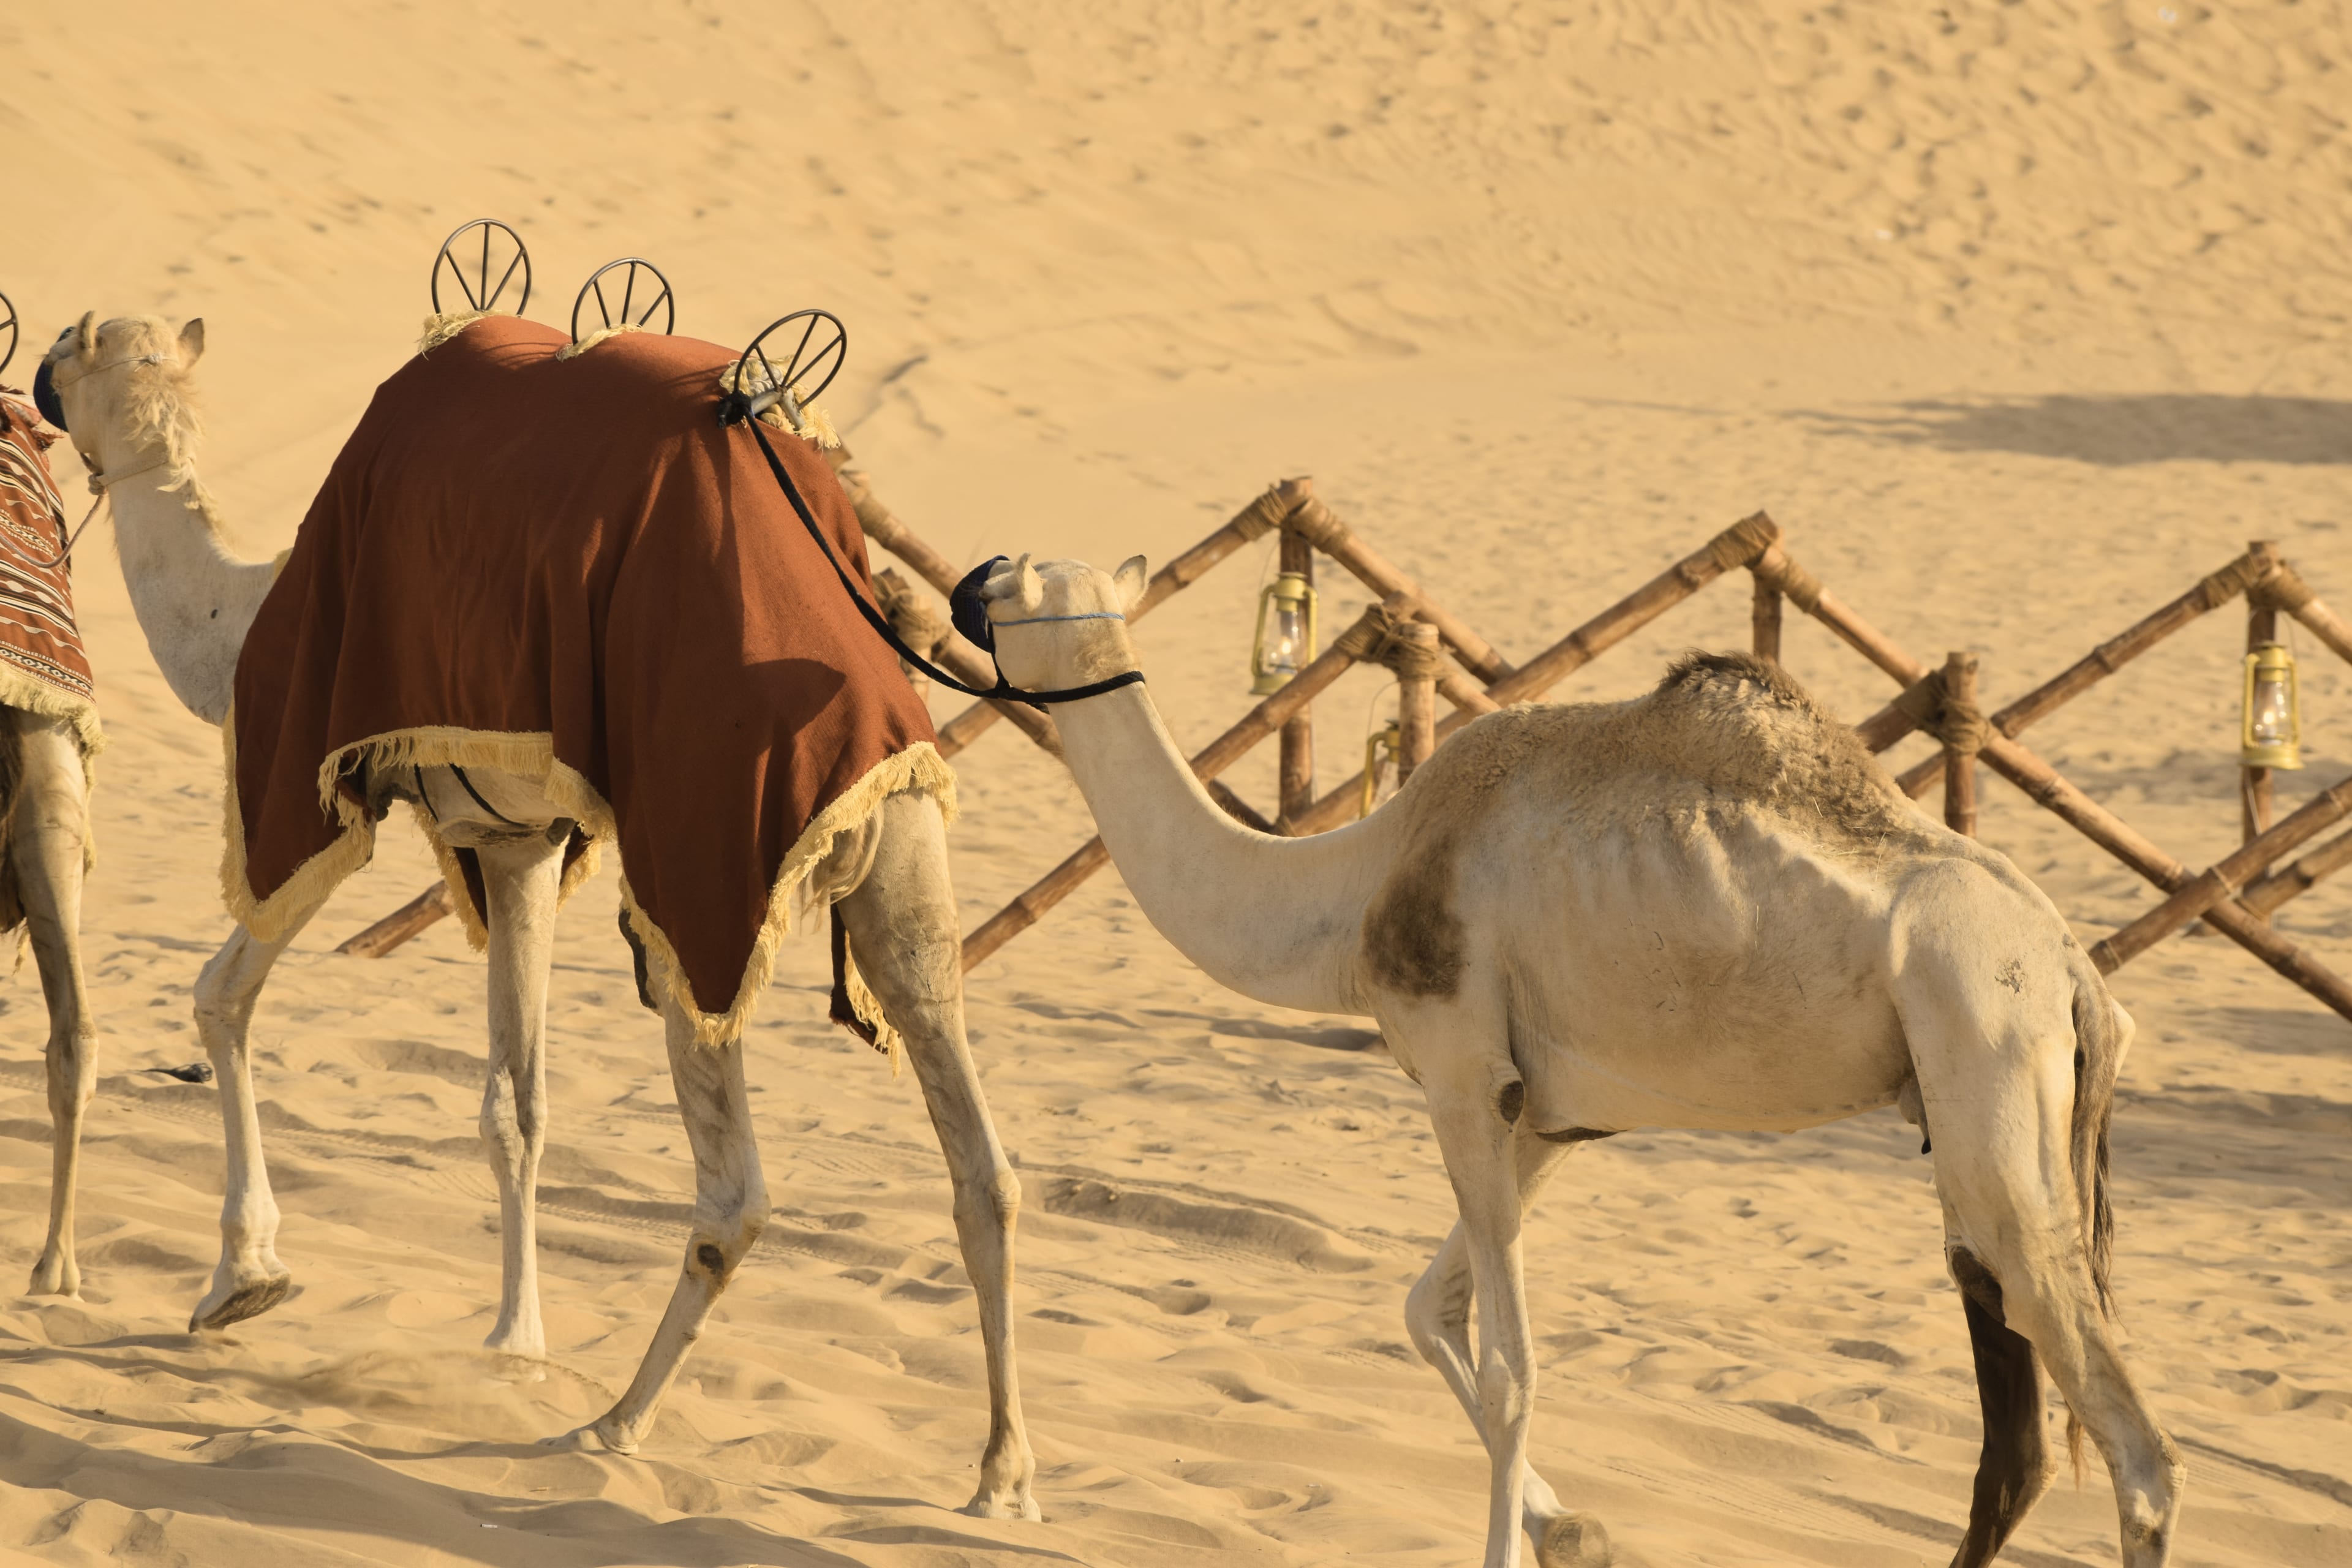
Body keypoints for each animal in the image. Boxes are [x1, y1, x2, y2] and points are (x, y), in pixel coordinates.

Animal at [36, 312, 1037, 1519]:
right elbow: (516, 1104)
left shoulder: (336, 773)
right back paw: (1002, 1474)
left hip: (700, 864)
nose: (33, 378)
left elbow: (221, 995)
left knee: (735, 1193)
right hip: (900, 840)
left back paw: (612, 1425)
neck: (241, 616)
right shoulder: (515, 841)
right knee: (981, 1162)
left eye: (75, 348)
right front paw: (513, 1342)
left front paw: (243, 1279)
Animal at [971, 552, 2185, 1568]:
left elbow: (1512, 1370)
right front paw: (1573, 1529)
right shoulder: (1549, 1118)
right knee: (2013, 1425)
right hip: (1962, 1095)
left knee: (2136, 1453)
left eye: (1014, 580)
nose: (960, 587)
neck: (1352, 891)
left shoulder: (1462, 1076)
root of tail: (2073, 969)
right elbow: (1428, 1309)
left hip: (1986, 1037)